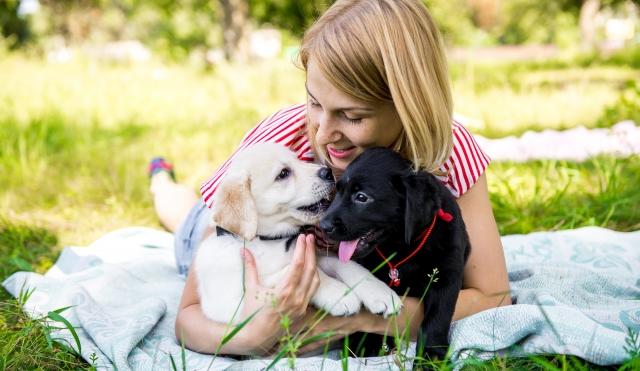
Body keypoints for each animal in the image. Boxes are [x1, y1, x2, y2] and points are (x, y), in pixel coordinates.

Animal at [194, 144, 400, 324]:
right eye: (283, 174)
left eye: (298, 159)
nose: (327, 172)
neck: (269, 241)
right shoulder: (231, 304)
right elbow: (293, 273)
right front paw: (340, 294)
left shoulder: (317, 254)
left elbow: (348, 266)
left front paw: (380, 293)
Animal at [320, 147, 470, 360]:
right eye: (337, 192)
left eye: (361, 197)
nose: (323, 226)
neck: (401, 246)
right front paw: (365, 344)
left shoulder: (446, 277)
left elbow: (437, 318)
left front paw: (430, 357)